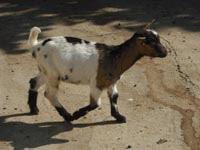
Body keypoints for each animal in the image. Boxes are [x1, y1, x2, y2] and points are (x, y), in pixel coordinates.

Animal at [26, 27, 167, 123]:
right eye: (150, 42)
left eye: (159, 39)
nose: (165, 52)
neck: (114, 57)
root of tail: (37, 46)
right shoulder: (97, 83)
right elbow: (95, 104)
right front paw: (77, 114)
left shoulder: (111, 81)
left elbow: (114, 97)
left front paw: (119, 117)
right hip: (53, 74)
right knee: (49, 94)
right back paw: (68, 116)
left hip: (45, 71)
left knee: (33, 82)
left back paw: (34, 109)